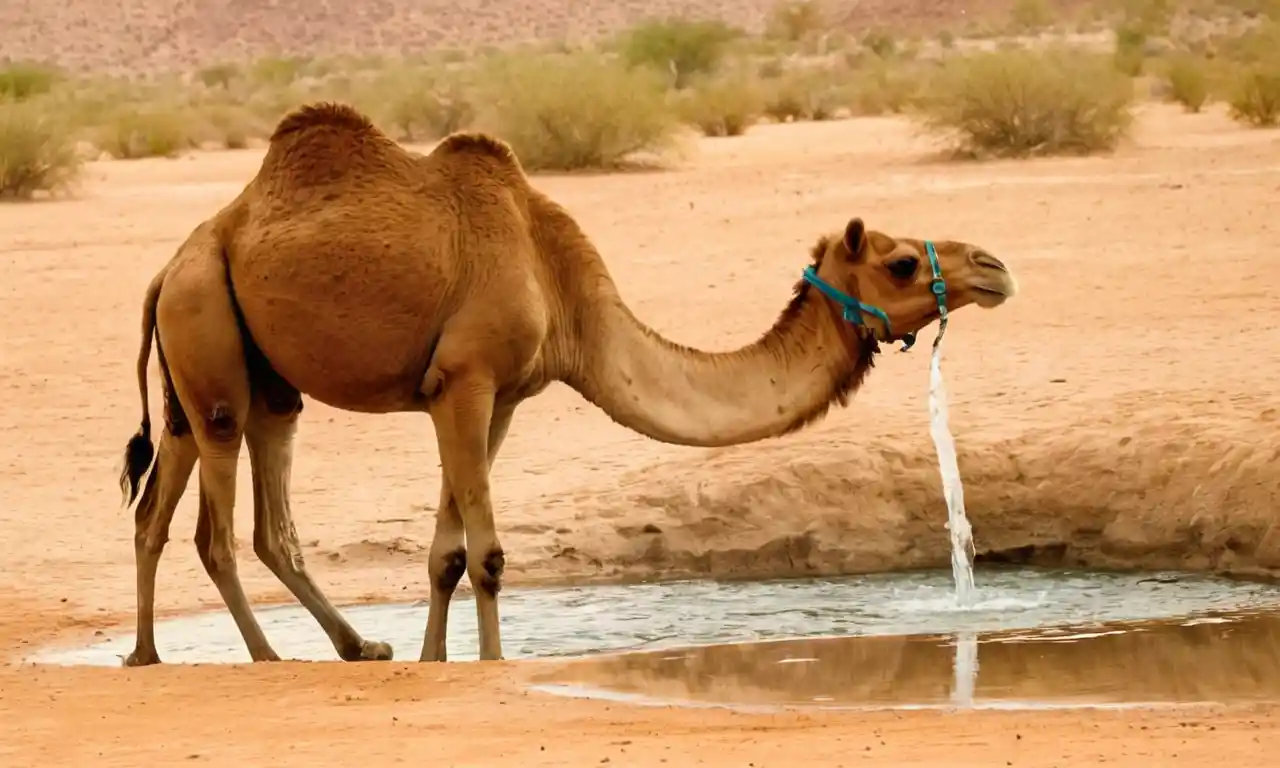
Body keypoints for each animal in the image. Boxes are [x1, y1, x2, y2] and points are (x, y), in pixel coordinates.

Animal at [117, 101, 1018, 665]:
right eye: (900, 263)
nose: (994, 267)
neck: (560, 283)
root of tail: (169, 264)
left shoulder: (502, 395)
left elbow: (447, 551)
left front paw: (431, 658)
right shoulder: (464, 378)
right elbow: (485, 553)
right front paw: (491, 662)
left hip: (233, 366)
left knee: (192, 505)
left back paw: (172, 653)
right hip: (210, 334)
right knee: (215, 527)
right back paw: (269, 656)